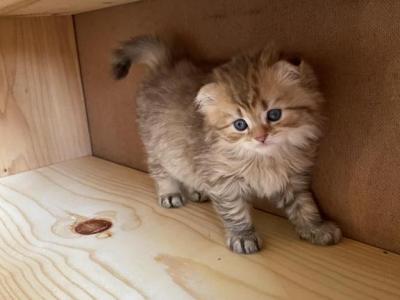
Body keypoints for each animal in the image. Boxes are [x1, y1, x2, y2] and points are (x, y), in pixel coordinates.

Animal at [111, 36, 340, 254]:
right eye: (240, 124)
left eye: (274, 114)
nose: (261, 137)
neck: (265, 158)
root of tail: (166, 65)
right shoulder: (223, 181)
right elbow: (235, 211)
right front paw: (243, 236)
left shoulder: (292, 178)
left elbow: (305, 205)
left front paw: (316, 228)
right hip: (158, 145)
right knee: (160, 170)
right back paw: (169, 193)